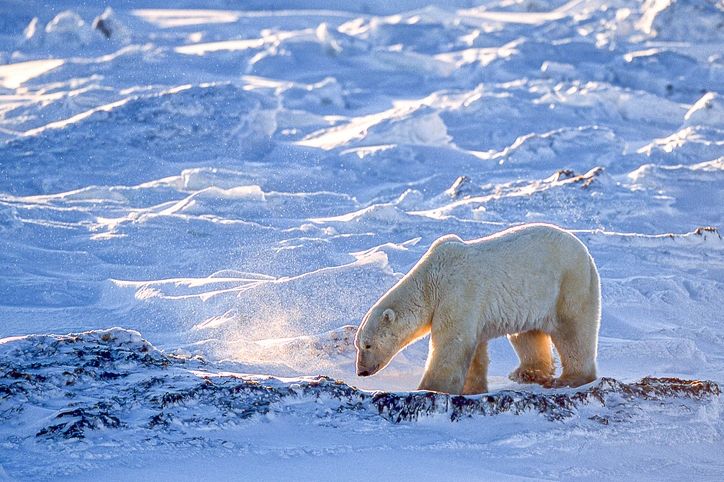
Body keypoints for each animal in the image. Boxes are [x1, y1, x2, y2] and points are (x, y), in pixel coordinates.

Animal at [355, 223, 601, 395]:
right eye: (358, 345)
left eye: (368, 345)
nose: (361, 371)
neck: (430, 281)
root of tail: (587, 254)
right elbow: (474, 350)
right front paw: (472, 389)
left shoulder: (458, 294)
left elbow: (451, 344)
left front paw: (430, 388)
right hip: (534, 298)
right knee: (527, 334)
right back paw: (526, 373)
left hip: (569, 285)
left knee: (573, 333)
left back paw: (571, 378)